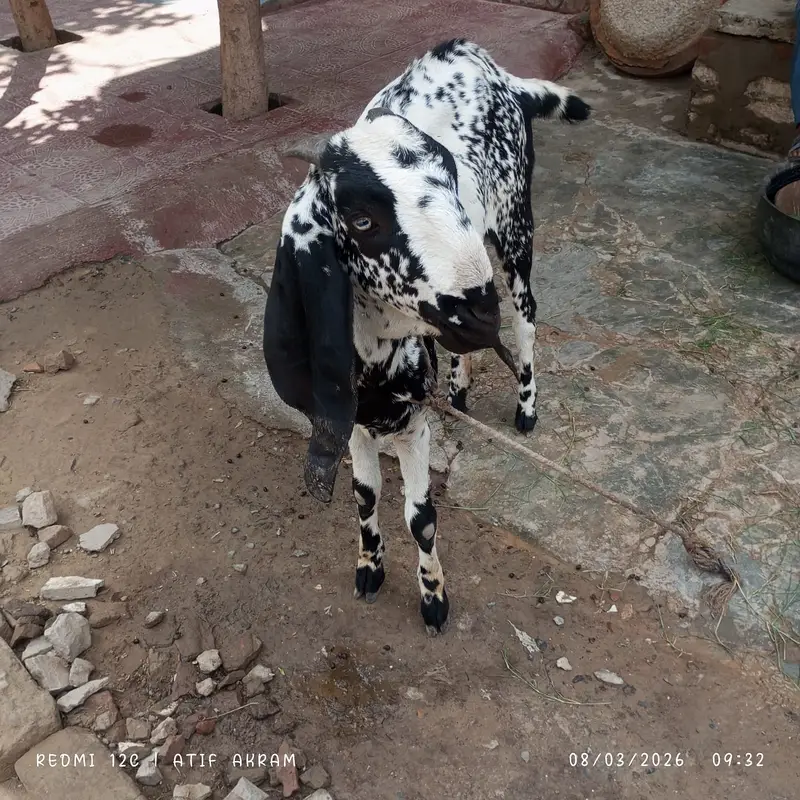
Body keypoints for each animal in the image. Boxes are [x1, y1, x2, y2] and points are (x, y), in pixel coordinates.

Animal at [263, 38, 590, 634]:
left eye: (450, 178)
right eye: (361, 220)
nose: (477, 308)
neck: (377, 361)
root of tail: (486, 64)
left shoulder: (414, 422)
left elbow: (421, 517)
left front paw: (434, 598)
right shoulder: (352, 417)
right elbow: (364, 496)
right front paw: (369, 569)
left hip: (515, 226)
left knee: (527, 317)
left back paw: (526, 406)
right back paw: (459, 388)